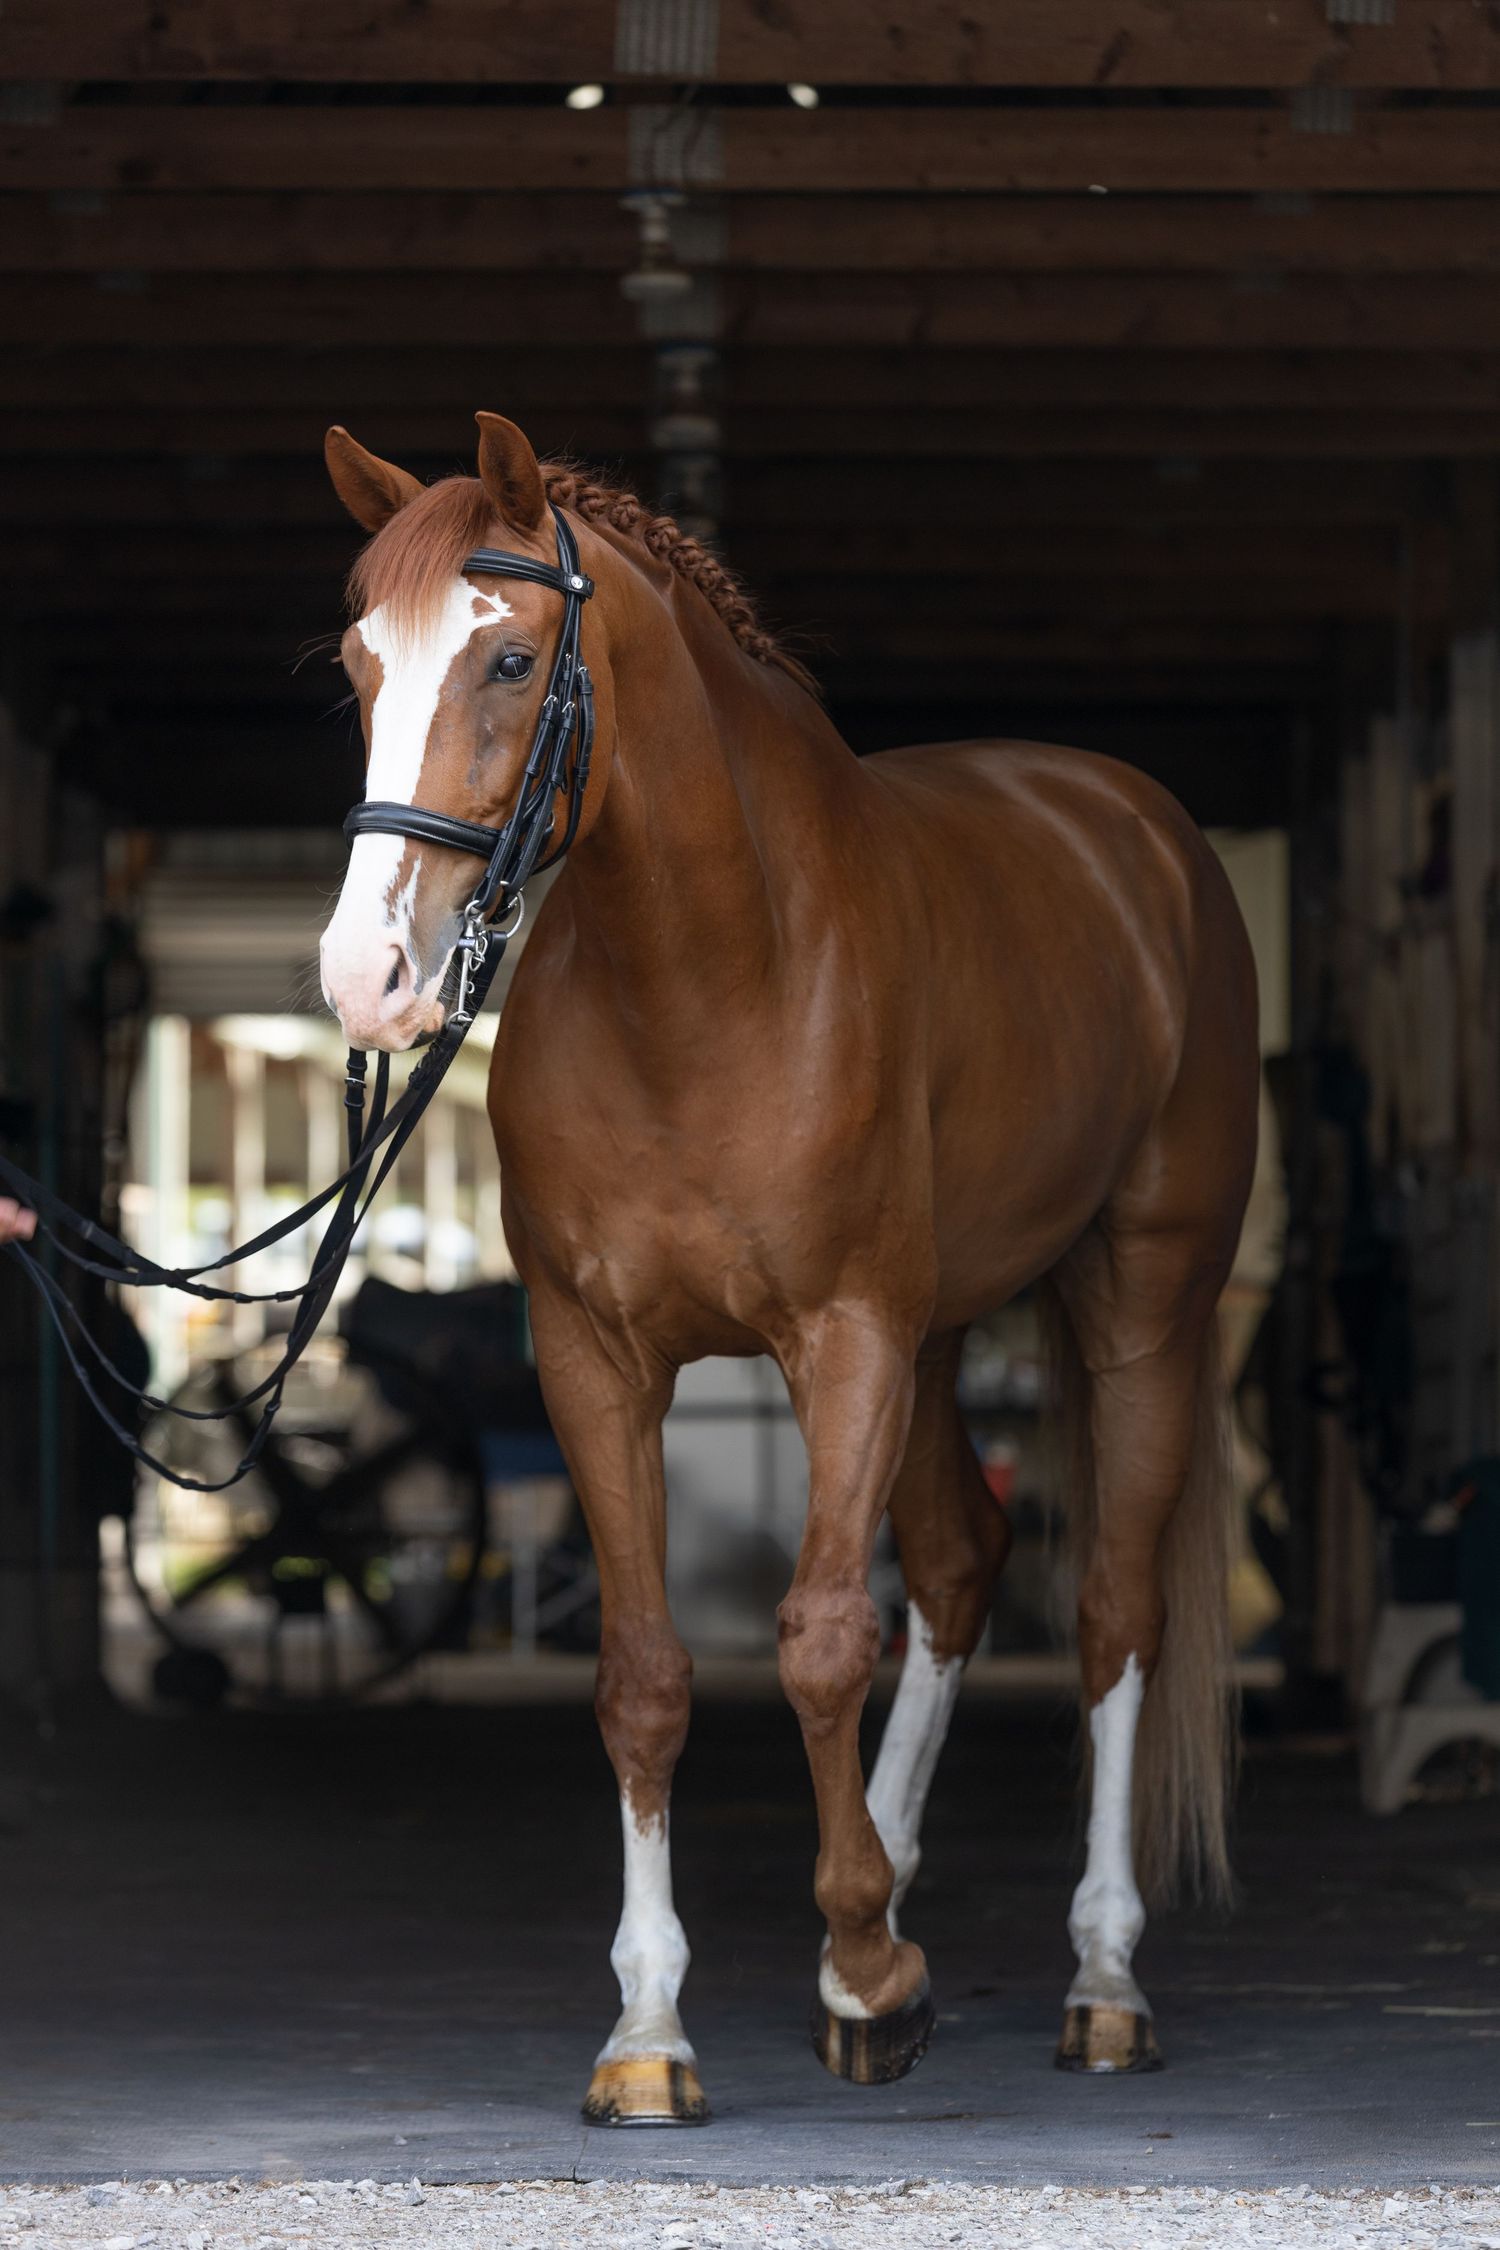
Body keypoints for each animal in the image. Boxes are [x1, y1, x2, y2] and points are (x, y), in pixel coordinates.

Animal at [317, 412, 1260, 2123]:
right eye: (360, 662)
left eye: (510, 661)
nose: (371, 977)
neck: (710, 974)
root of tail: (1132, 828)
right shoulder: (596, 1356)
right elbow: (643, 1671)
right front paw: (651, 2028)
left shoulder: (848, 1335)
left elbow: (824, 1638)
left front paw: (874, 1971)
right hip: (946, 1337)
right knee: (961, 1557)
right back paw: (893, 1874)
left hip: (1138, 1307)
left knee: (1111, 1607)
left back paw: (1099, 1978)